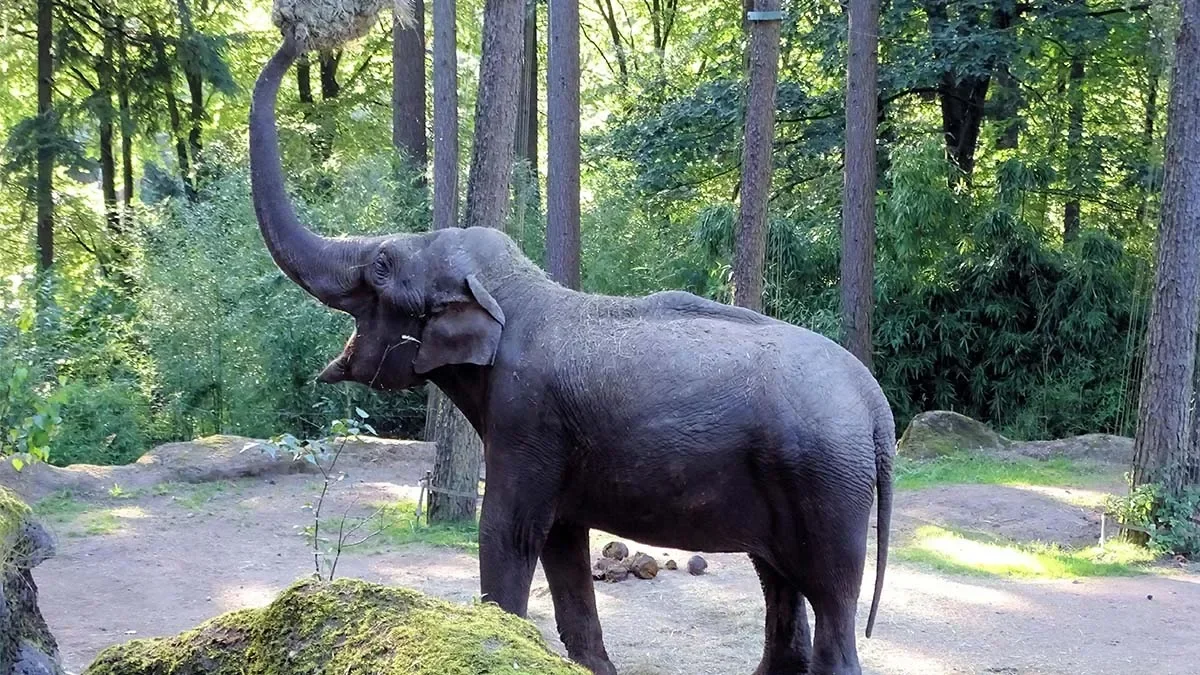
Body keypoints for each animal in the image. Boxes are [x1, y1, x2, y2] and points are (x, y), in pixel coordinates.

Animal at [249, 38, 894, 675]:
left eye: (382, 265)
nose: (297, 33)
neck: (515, 290)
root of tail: (876, 407)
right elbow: (562, 539)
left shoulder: (527, 419)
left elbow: (508, 532)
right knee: (780, 579)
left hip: (825, 483)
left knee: (829, 597)